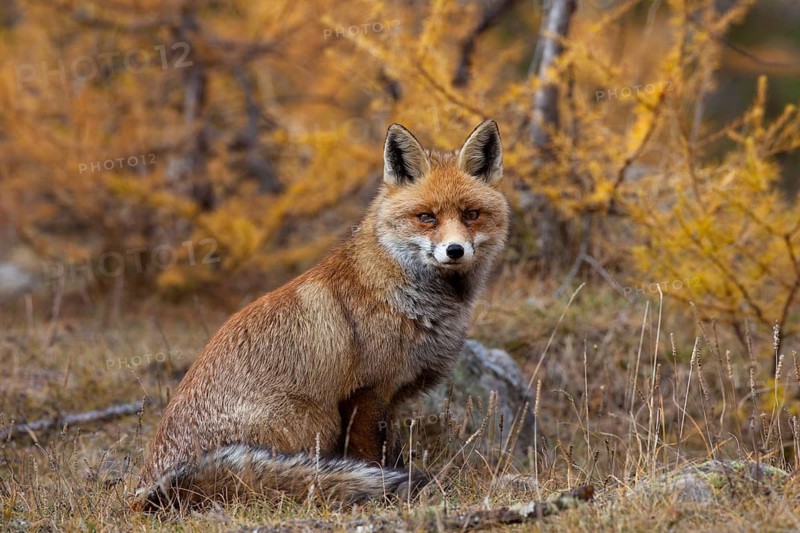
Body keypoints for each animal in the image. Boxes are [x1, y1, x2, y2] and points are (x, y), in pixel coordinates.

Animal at [133, 119, 510, 512]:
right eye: (427, 218)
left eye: (470, 214)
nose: (455, 250)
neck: (408, 293)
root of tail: (152, 488)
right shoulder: (365, 393)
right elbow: (371, 459)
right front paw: (387, 495)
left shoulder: (390, 400)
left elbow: (391, 453)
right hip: (315, 421)